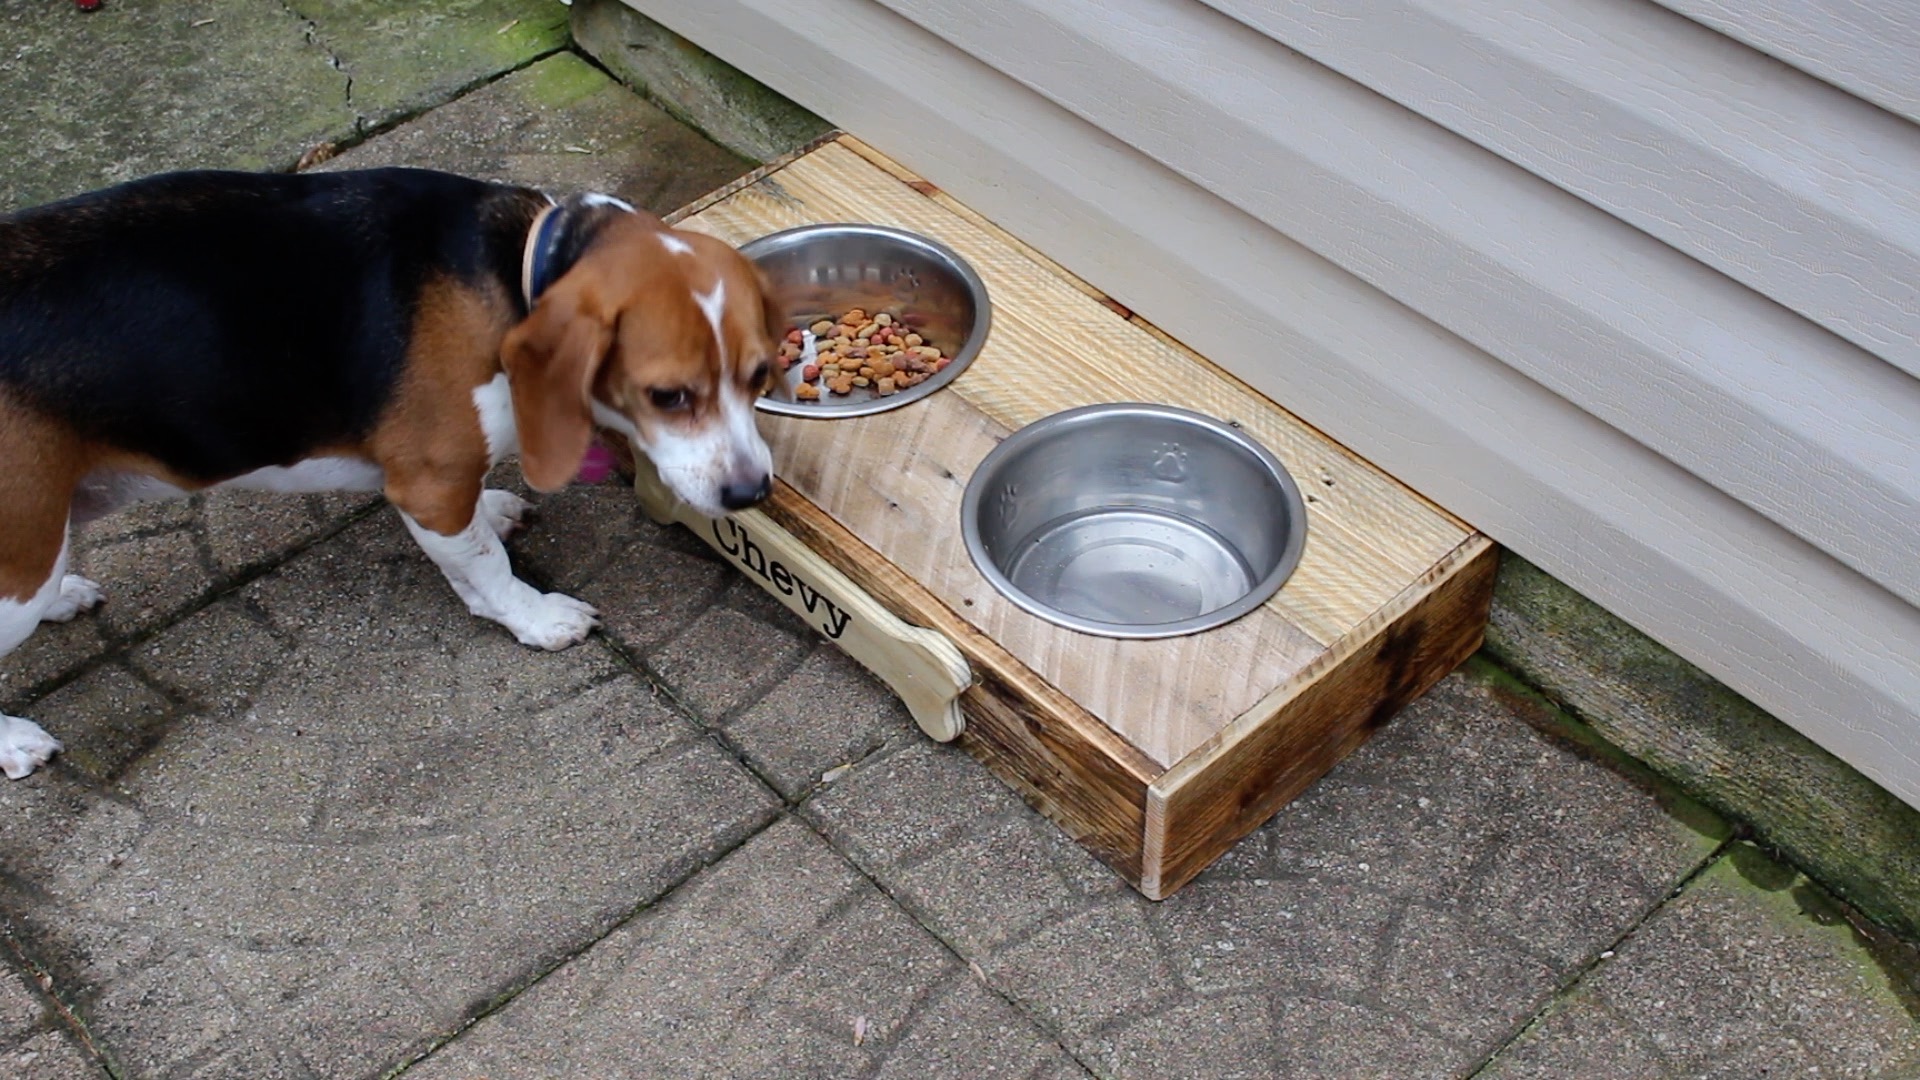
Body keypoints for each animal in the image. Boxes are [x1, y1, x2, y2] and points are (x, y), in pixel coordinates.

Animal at [0, 164, 783, 776]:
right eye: (668, 396)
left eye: (759, 375)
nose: (750, 492)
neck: (518, 269)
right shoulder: (431, 484)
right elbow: (486, 567)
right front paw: (536, 617)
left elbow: (476, 529)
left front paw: (494, 509)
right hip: (21, 554)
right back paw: (15, 743)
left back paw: (67, 595)